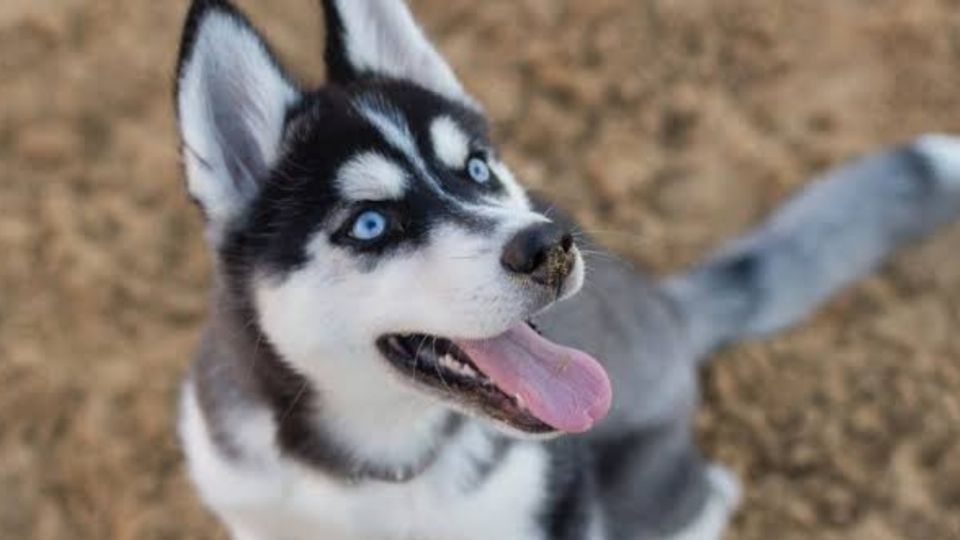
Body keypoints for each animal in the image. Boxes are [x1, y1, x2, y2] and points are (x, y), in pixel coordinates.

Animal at [172, 2, 960, 536]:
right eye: (369, 224)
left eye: (478, 169)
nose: (550, 244)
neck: (372, 473)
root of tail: (665, 309)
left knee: (707, 495)